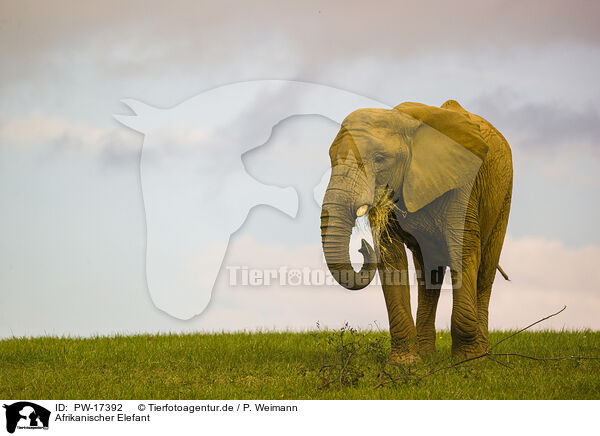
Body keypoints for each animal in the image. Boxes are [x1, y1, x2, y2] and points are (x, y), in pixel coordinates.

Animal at [322, 99, 512, 362]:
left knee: (485, 272)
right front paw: (404, 363)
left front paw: (468, 361)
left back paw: (482, 354)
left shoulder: (463, 185)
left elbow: (462, 248)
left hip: (503, 195)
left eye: (380, 159)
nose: (362, 247)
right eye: (330, 158)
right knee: (429, 277)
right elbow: (391, 257)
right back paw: (427, 356)